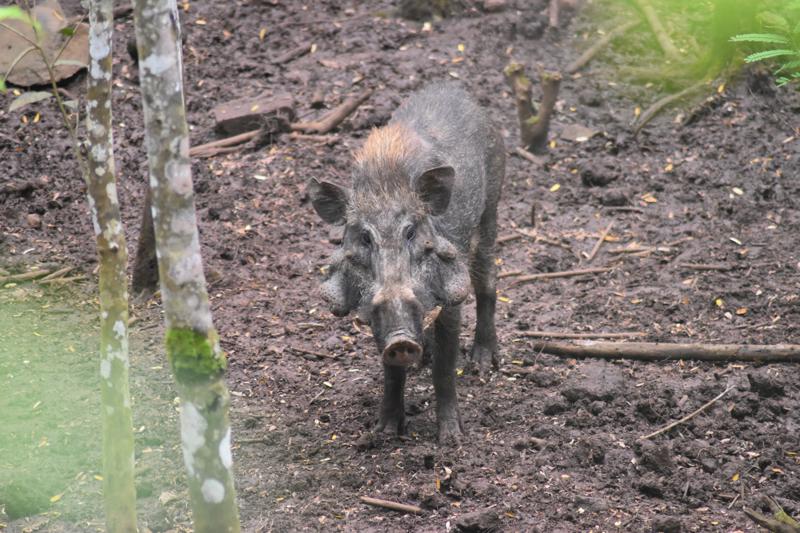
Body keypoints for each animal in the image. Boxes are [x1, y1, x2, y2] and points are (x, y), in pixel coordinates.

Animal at [308, 82, 505, 443]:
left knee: (488, 281)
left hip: (491, 207)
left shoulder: (450, 295)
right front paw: (384, 433)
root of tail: (454, 88)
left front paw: (451, 440)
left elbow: (445, 368)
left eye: (411, 231)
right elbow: (392, 372)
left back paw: (482, 365)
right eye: (364, 237)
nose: (402, 342)